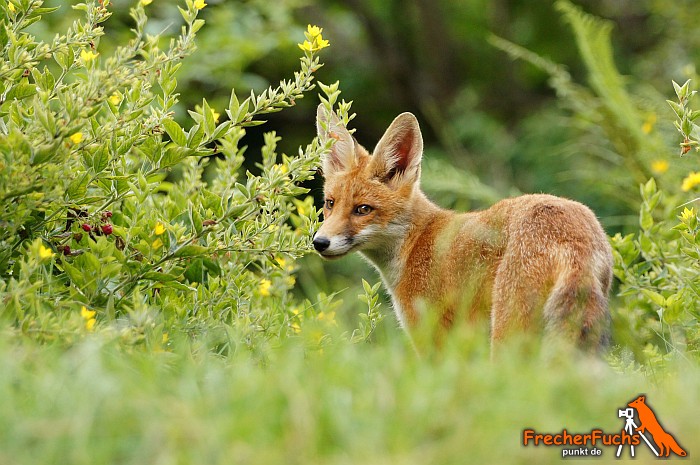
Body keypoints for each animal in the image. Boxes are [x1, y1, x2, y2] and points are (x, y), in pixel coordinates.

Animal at [312, 105, 612, 350]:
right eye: (330, 204)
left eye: (363, 209)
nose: (319, 242)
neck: (414, 243)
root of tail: (572, 232)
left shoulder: (435, 341)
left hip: (508, 333)